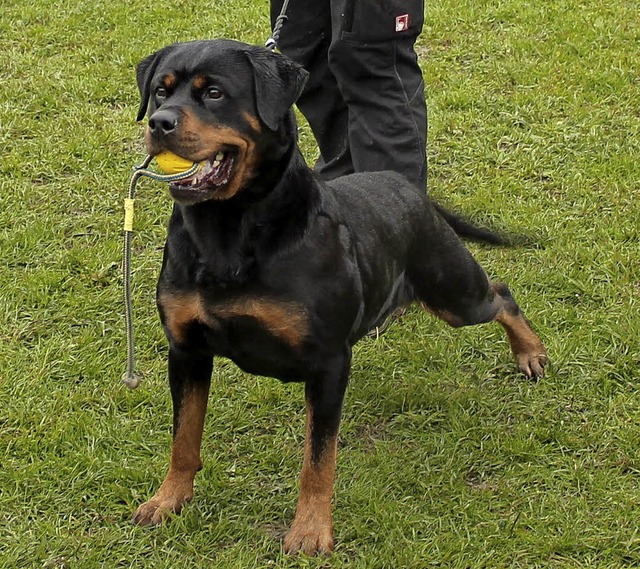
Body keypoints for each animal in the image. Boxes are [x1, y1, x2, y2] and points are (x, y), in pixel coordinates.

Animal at [132, 40, 548, 556]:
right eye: (159, 91)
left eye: (214, 93)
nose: (159, 123)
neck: (228, 232)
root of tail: (407, 187)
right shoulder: (186, 350)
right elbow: (184, 438)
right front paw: (168, 500)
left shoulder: (327, 363)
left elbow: (318, 460)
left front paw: (310, 531)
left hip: (454, 292)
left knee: (501, 295)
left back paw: (530, 353)